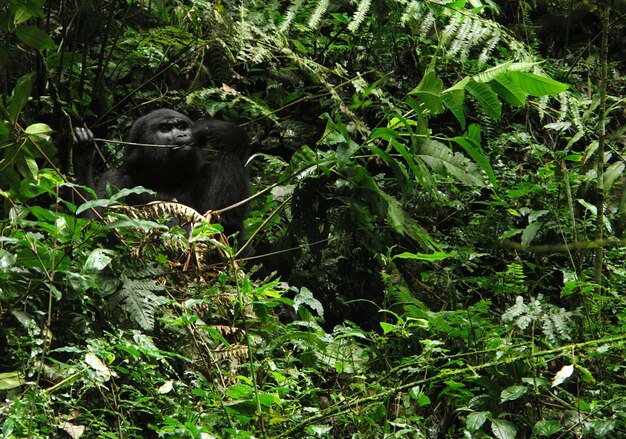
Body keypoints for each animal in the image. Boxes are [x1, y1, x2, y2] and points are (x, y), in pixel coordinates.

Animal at [77, 109, 252, 241]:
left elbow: (223, 223)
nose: (182, 135)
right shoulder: (112, 178)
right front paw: (83, 155)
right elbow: (93, 226)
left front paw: (220, 130)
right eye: (165, 129)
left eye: (181, 126)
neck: (165, 178)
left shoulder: (208, 170)